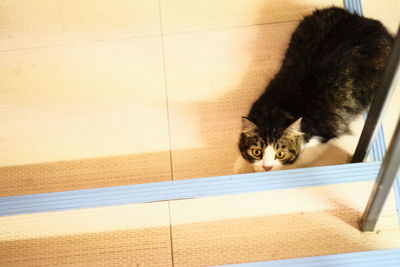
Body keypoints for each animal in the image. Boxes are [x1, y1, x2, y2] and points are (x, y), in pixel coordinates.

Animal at [239, 7, 392, 174]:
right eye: (257, 152)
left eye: (280, 154)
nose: (267, 167)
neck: (282, 109)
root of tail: (365, 21)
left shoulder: (323, 137)